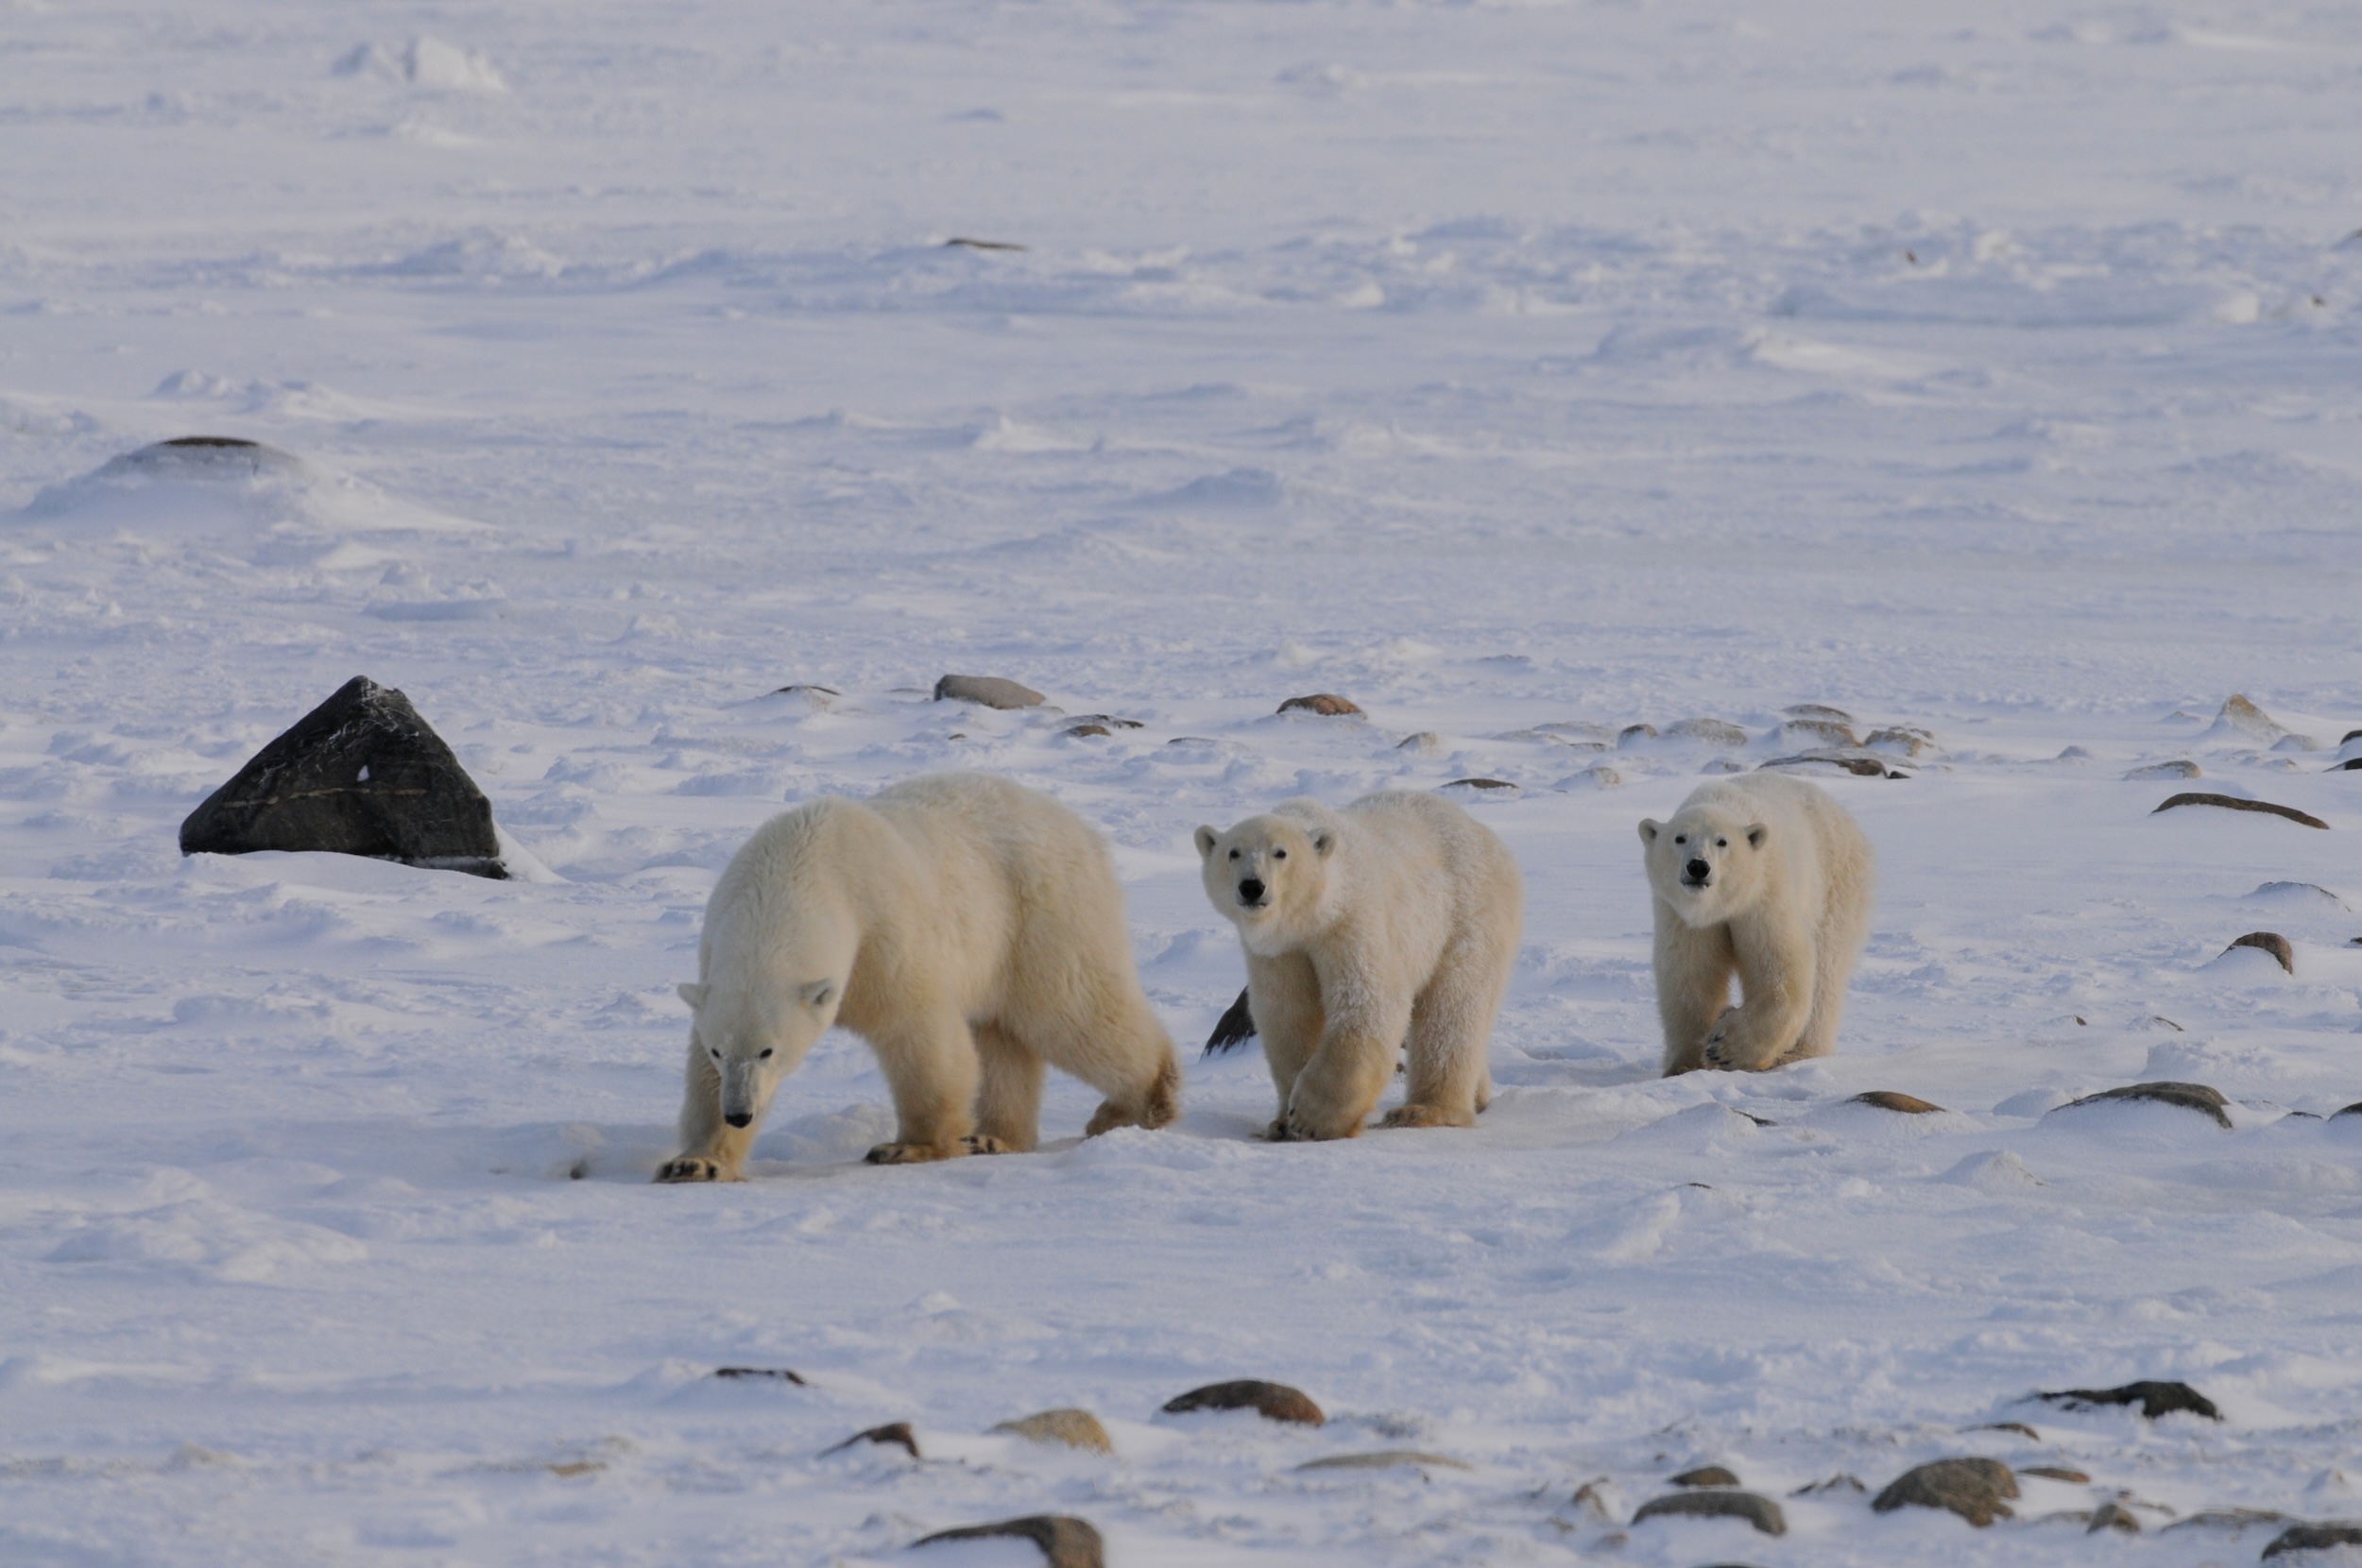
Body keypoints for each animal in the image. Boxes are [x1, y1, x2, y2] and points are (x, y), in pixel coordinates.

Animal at [655, 773, 1181, 1182]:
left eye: (768, 1050)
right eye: (720, 1051)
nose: (740, 1113)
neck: (801, 863)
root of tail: (1082, 829)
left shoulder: (880, 928)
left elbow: (917, 1029)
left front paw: (908, 1147)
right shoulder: (715, 958)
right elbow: (700, 1076)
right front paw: (694, 1162)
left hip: (1042, 912)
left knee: (1072, 1008)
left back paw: (1138, 1105)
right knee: (1003, 1036)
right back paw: (994, 1136)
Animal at [1193, 791, 1523, 1141]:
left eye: (1280, 853)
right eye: (1233, 852)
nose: (1252, 886)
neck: (1311, 916)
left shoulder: (1352, 920)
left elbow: (1367, 1003)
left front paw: (1310, 1119)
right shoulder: (1279, 951)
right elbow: (1287, 1015)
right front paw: (1281, 1122)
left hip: (1467, 914)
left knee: (1452, 1008)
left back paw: (1424, 1110)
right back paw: (1478, 1095)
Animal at [1637, 771, 1874, 1075]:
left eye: (1722, 842)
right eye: (1679, 838)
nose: (1698, 866)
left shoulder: (1764, 894)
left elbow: (1779, 967)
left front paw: (1724, 1048)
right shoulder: (1682, 916)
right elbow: (1690, 975)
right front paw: (1685, 1065)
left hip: (1837, 884)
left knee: (1826, 970)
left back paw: (1798, 1053)